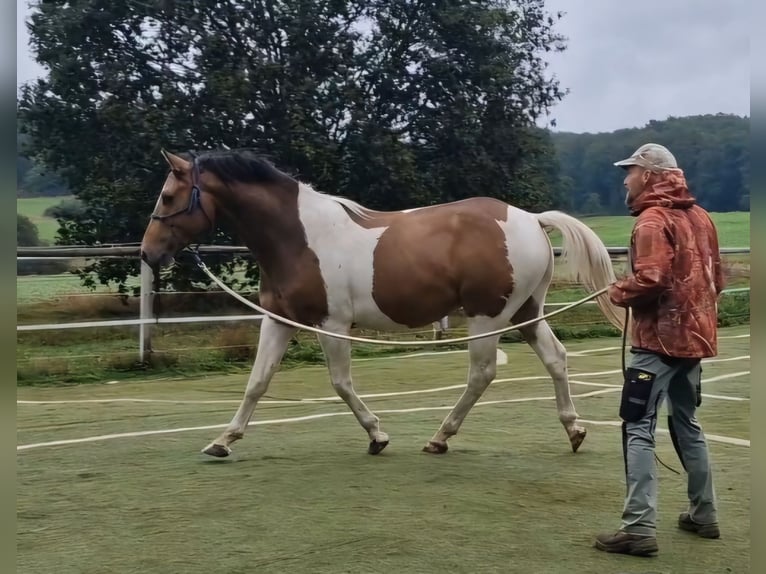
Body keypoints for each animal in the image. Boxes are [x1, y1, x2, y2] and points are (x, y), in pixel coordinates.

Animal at [140, 148, 625, 458]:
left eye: (167, 196)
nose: (147, 253)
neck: (298, 237)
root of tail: (532, 219)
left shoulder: (331, 324)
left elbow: (340, 383)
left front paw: (377, 436)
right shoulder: (278, 321)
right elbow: (257, 382)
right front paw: (223, 441)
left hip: (487, 316)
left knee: (482, 373)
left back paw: (440, 437)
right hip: (525, 313)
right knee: (556, 358)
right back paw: (574, 430)